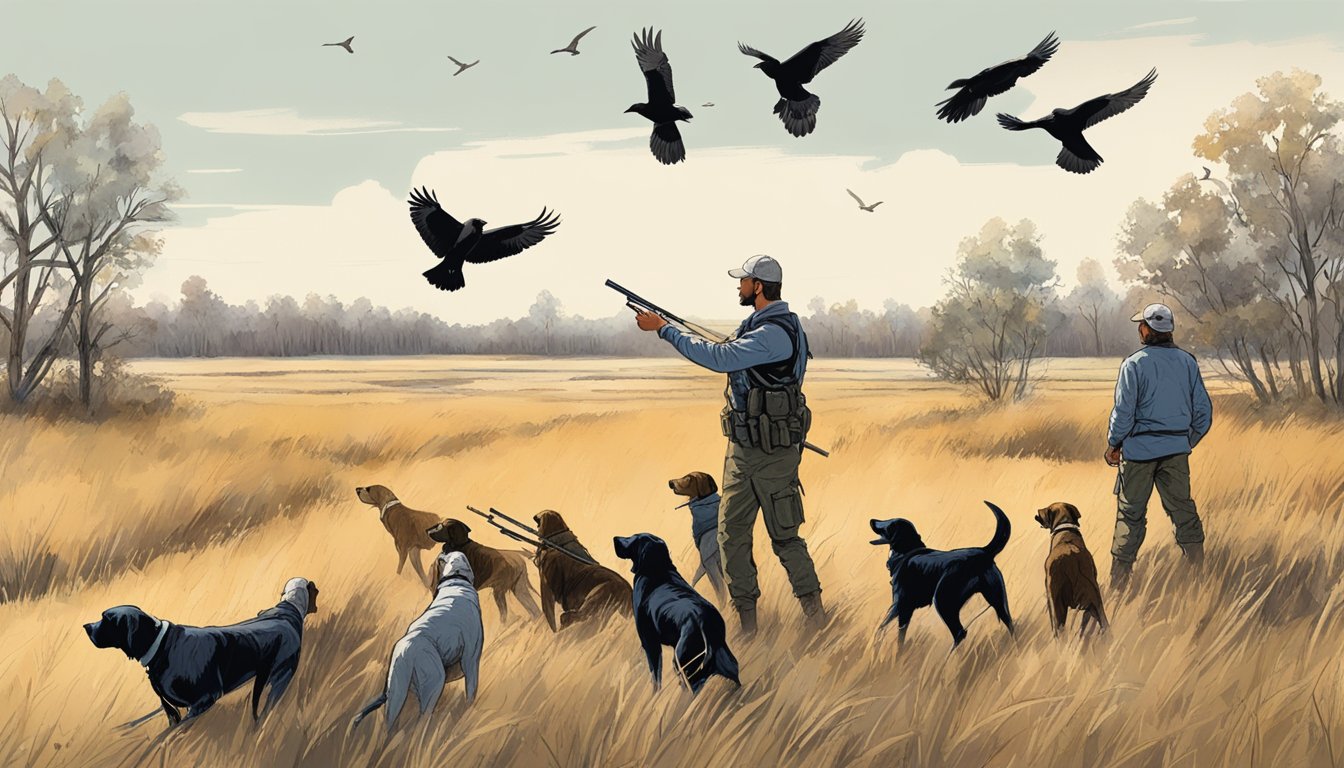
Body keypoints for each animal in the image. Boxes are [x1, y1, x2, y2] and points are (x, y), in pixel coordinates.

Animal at [84, 581, 319, 731]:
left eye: (106, 619)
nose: (86, 626)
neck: (161, 646)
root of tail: (286, 615)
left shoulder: (205, 700)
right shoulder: (176, 709)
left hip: (278, 679)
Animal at [352, 548, 483, 731]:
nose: (443, 551)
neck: (457, 582)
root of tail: (406, 653)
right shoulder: (471, 661)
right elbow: (471, 692)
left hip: (396, 694)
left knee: (388, 725)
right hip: (434, 685)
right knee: (422, 721)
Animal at [615, 535, 741, 699]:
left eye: (633, 539)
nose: (615, 538)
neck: (658, 568)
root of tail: (704, 623)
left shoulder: (650, 643)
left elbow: (655, 677)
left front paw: (654, 697)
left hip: (685, 664)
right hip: (726, 663)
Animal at [865, 505, 1010, 648]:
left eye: (890, 525)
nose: (872, 520)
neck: (907, 551)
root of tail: (984, 551)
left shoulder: (899, 604)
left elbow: (882, 629)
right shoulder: (906, 610)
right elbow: (900, 637)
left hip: (942, 600)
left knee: (959, 632)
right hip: (998, 600)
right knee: (1010, 624)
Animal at [1032, 505, 1107, 637]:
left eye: (1044, 511)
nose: (1037, 513)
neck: (1065, 529)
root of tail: (1070, 556)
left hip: (1057, 607)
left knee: (1058, 630)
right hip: (1096, 604)